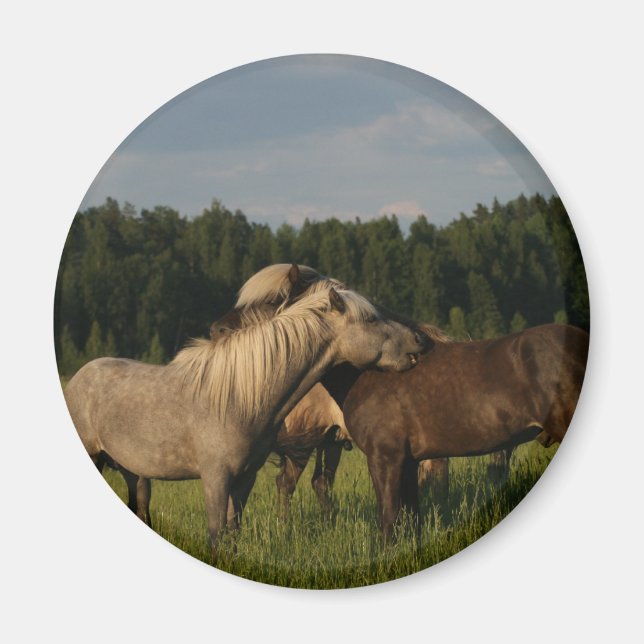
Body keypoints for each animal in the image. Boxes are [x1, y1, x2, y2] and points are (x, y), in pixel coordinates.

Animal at [64, 266, 431, 560]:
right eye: (370, 319)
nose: (419, 339)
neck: (238, 399)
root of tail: (79, 376)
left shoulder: (245, 478)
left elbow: (233, 531)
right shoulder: (215, 478)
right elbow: (216, 533)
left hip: (134, 472)